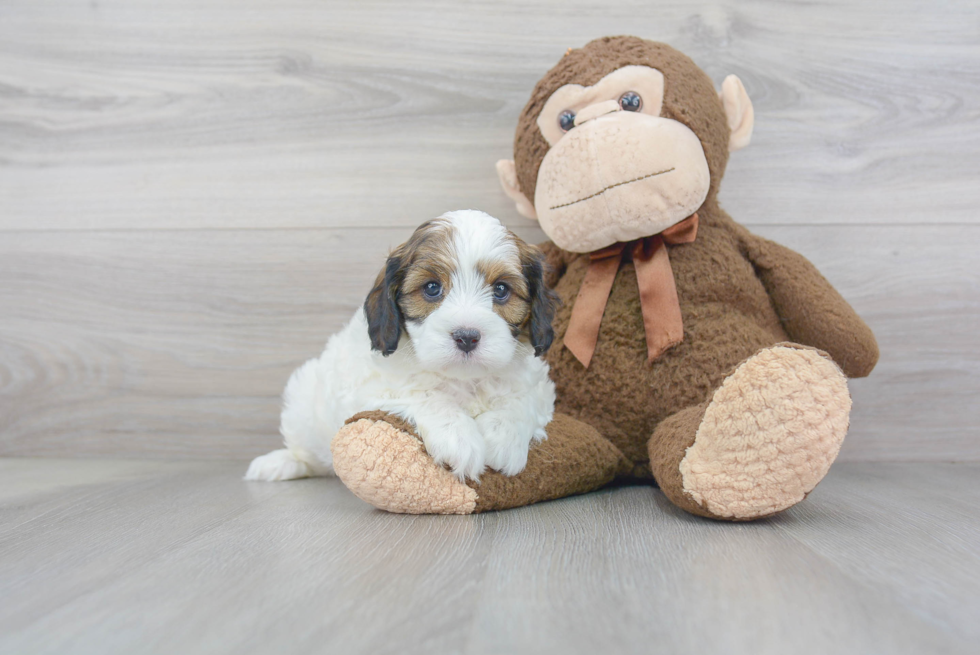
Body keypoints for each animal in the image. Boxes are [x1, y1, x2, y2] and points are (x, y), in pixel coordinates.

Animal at [245, 210, 560, 482]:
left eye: (501, 290)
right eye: (432, 288)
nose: (467, 337)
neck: (464, 379)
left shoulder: (539, 387)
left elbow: (521, 400)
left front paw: (502, 437)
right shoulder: (371, 387)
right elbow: (426, 395)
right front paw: (459, 438)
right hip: (303, 403)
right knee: (305, 451)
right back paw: (279, 463)